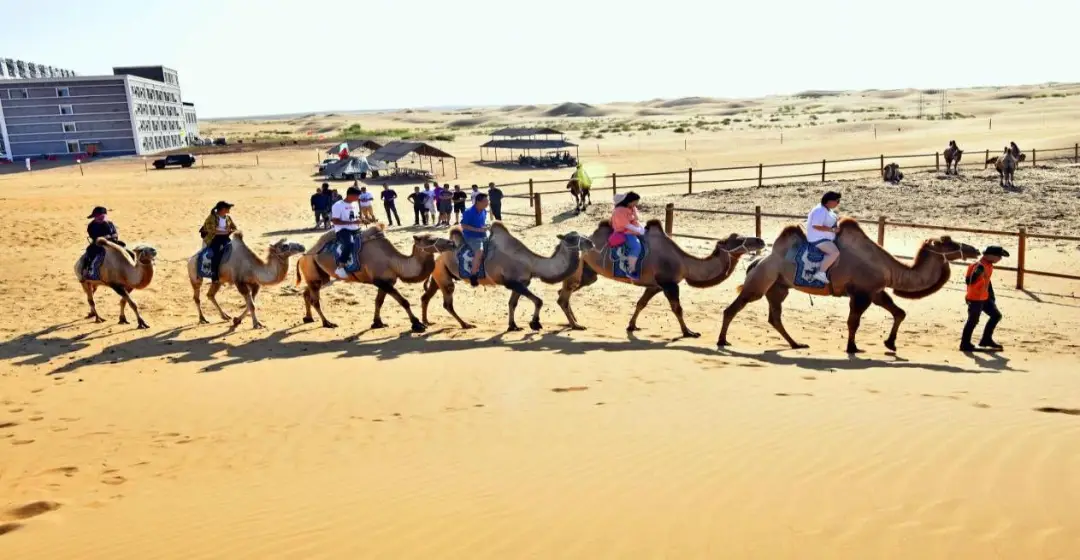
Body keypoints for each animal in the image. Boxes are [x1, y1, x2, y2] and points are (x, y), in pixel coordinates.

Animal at [298, 229, 457, 330]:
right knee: (315, 300)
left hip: (320, 276)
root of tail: (302, 257)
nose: (451, 243)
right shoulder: (382, 281)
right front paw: (417, 324)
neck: (395, 262)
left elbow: (378, 302)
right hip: (313, 271)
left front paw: (377, 323)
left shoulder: (386, 281)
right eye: (431, 239)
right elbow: (403, 301)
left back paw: (308, 318)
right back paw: (328, 323)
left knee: (307, 292)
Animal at [419, 221, 596, 330]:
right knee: (447, 303)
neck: (532, 263)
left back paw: (426, 321)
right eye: (572, 238)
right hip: (444, 277)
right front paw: (535, 323)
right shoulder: (512, 282)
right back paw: (466, 324)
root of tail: (436, 256)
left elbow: (512, 303)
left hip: (439, 275)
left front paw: (513, 326)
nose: (591, 242)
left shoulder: (521, 283)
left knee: (426, 297)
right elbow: (538, 301)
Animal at [557, 221, 768, 336]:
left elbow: (641, 304)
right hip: (577, 269)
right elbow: (678, 309)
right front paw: (689, 332)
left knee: (564, 292)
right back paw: (576, 325)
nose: (760, 240)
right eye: (737, 239)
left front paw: (632, 325)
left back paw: (573, 321)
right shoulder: (669, 283)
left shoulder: (655, 285)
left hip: (588, 273)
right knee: (563, 296)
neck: (684, 263)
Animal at [717, 220, 980, 356]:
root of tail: (758, 261)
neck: (889, 268)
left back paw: (796, 344)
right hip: (762, 281)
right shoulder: (861, 293)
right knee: (734, 307)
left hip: (779, 286)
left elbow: (899, 312)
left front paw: (890, 344)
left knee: (774, 316)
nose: (975, 249)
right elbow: (853, 322)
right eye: (948, 242)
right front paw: (852, 347)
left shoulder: (875, 291)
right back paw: (722, 341)